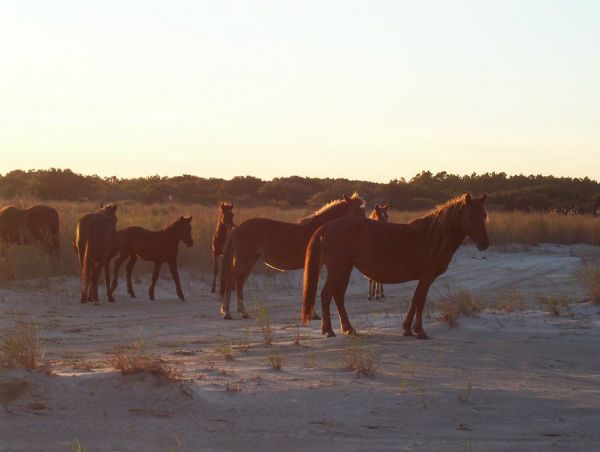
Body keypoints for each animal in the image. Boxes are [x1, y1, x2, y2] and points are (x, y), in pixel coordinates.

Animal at [219, 192, 366, 320]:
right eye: (355, 209)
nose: (365, 226)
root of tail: (237, 229)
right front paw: (313, 314)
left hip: (251, 260)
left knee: (239, 281)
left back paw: (243, 312)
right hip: (244, 259)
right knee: (231, 278)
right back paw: (226, 312)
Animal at [302, 194, 490, 340]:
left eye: (484, 215)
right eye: (470, 216)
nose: (484, 244)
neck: (433, 236)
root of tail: (328, 226)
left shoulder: (424, 278)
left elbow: (415, 300)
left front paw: (407, 329)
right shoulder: (427, 276)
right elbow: (420, 300)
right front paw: (420, 331)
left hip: (344, 270)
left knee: (338, 296)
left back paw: (349, 329)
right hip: (338, 270)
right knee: (327, 295)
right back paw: (329, 331)